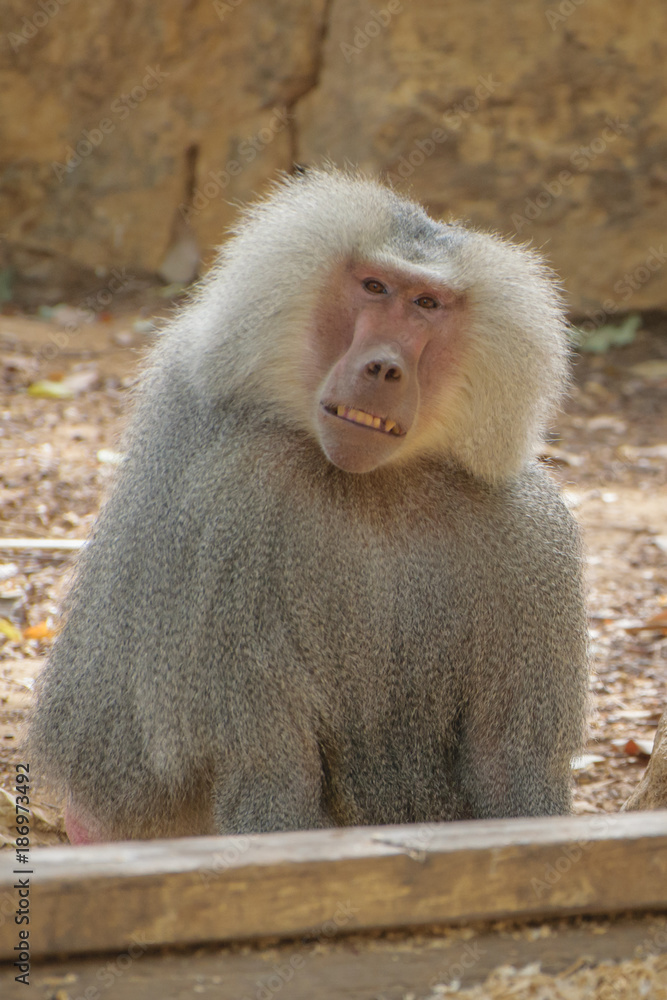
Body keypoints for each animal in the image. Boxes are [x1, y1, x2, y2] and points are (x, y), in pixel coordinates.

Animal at [28, 168, 589, 843]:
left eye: (426, 304)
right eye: (374, 287)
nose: (383, 367)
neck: (371, 485)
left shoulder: (529, 539)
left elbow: (510, 770)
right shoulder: (233, 509)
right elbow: (272, 774)